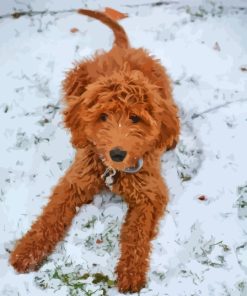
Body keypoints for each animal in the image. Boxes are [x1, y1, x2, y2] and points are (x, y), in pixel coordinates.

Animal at [9, 8, 179, 292]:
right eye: (103, 117)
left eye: (135, 118)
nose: (117, 154)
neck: (113, 171)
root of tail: (120, 50)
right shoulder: (75, 180)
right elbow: (51, 215)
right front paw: (27, 251)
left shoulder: (150, 191)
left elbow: (137, 230)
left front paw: (131, 271)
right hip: (75, 76)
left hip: (163, 82)